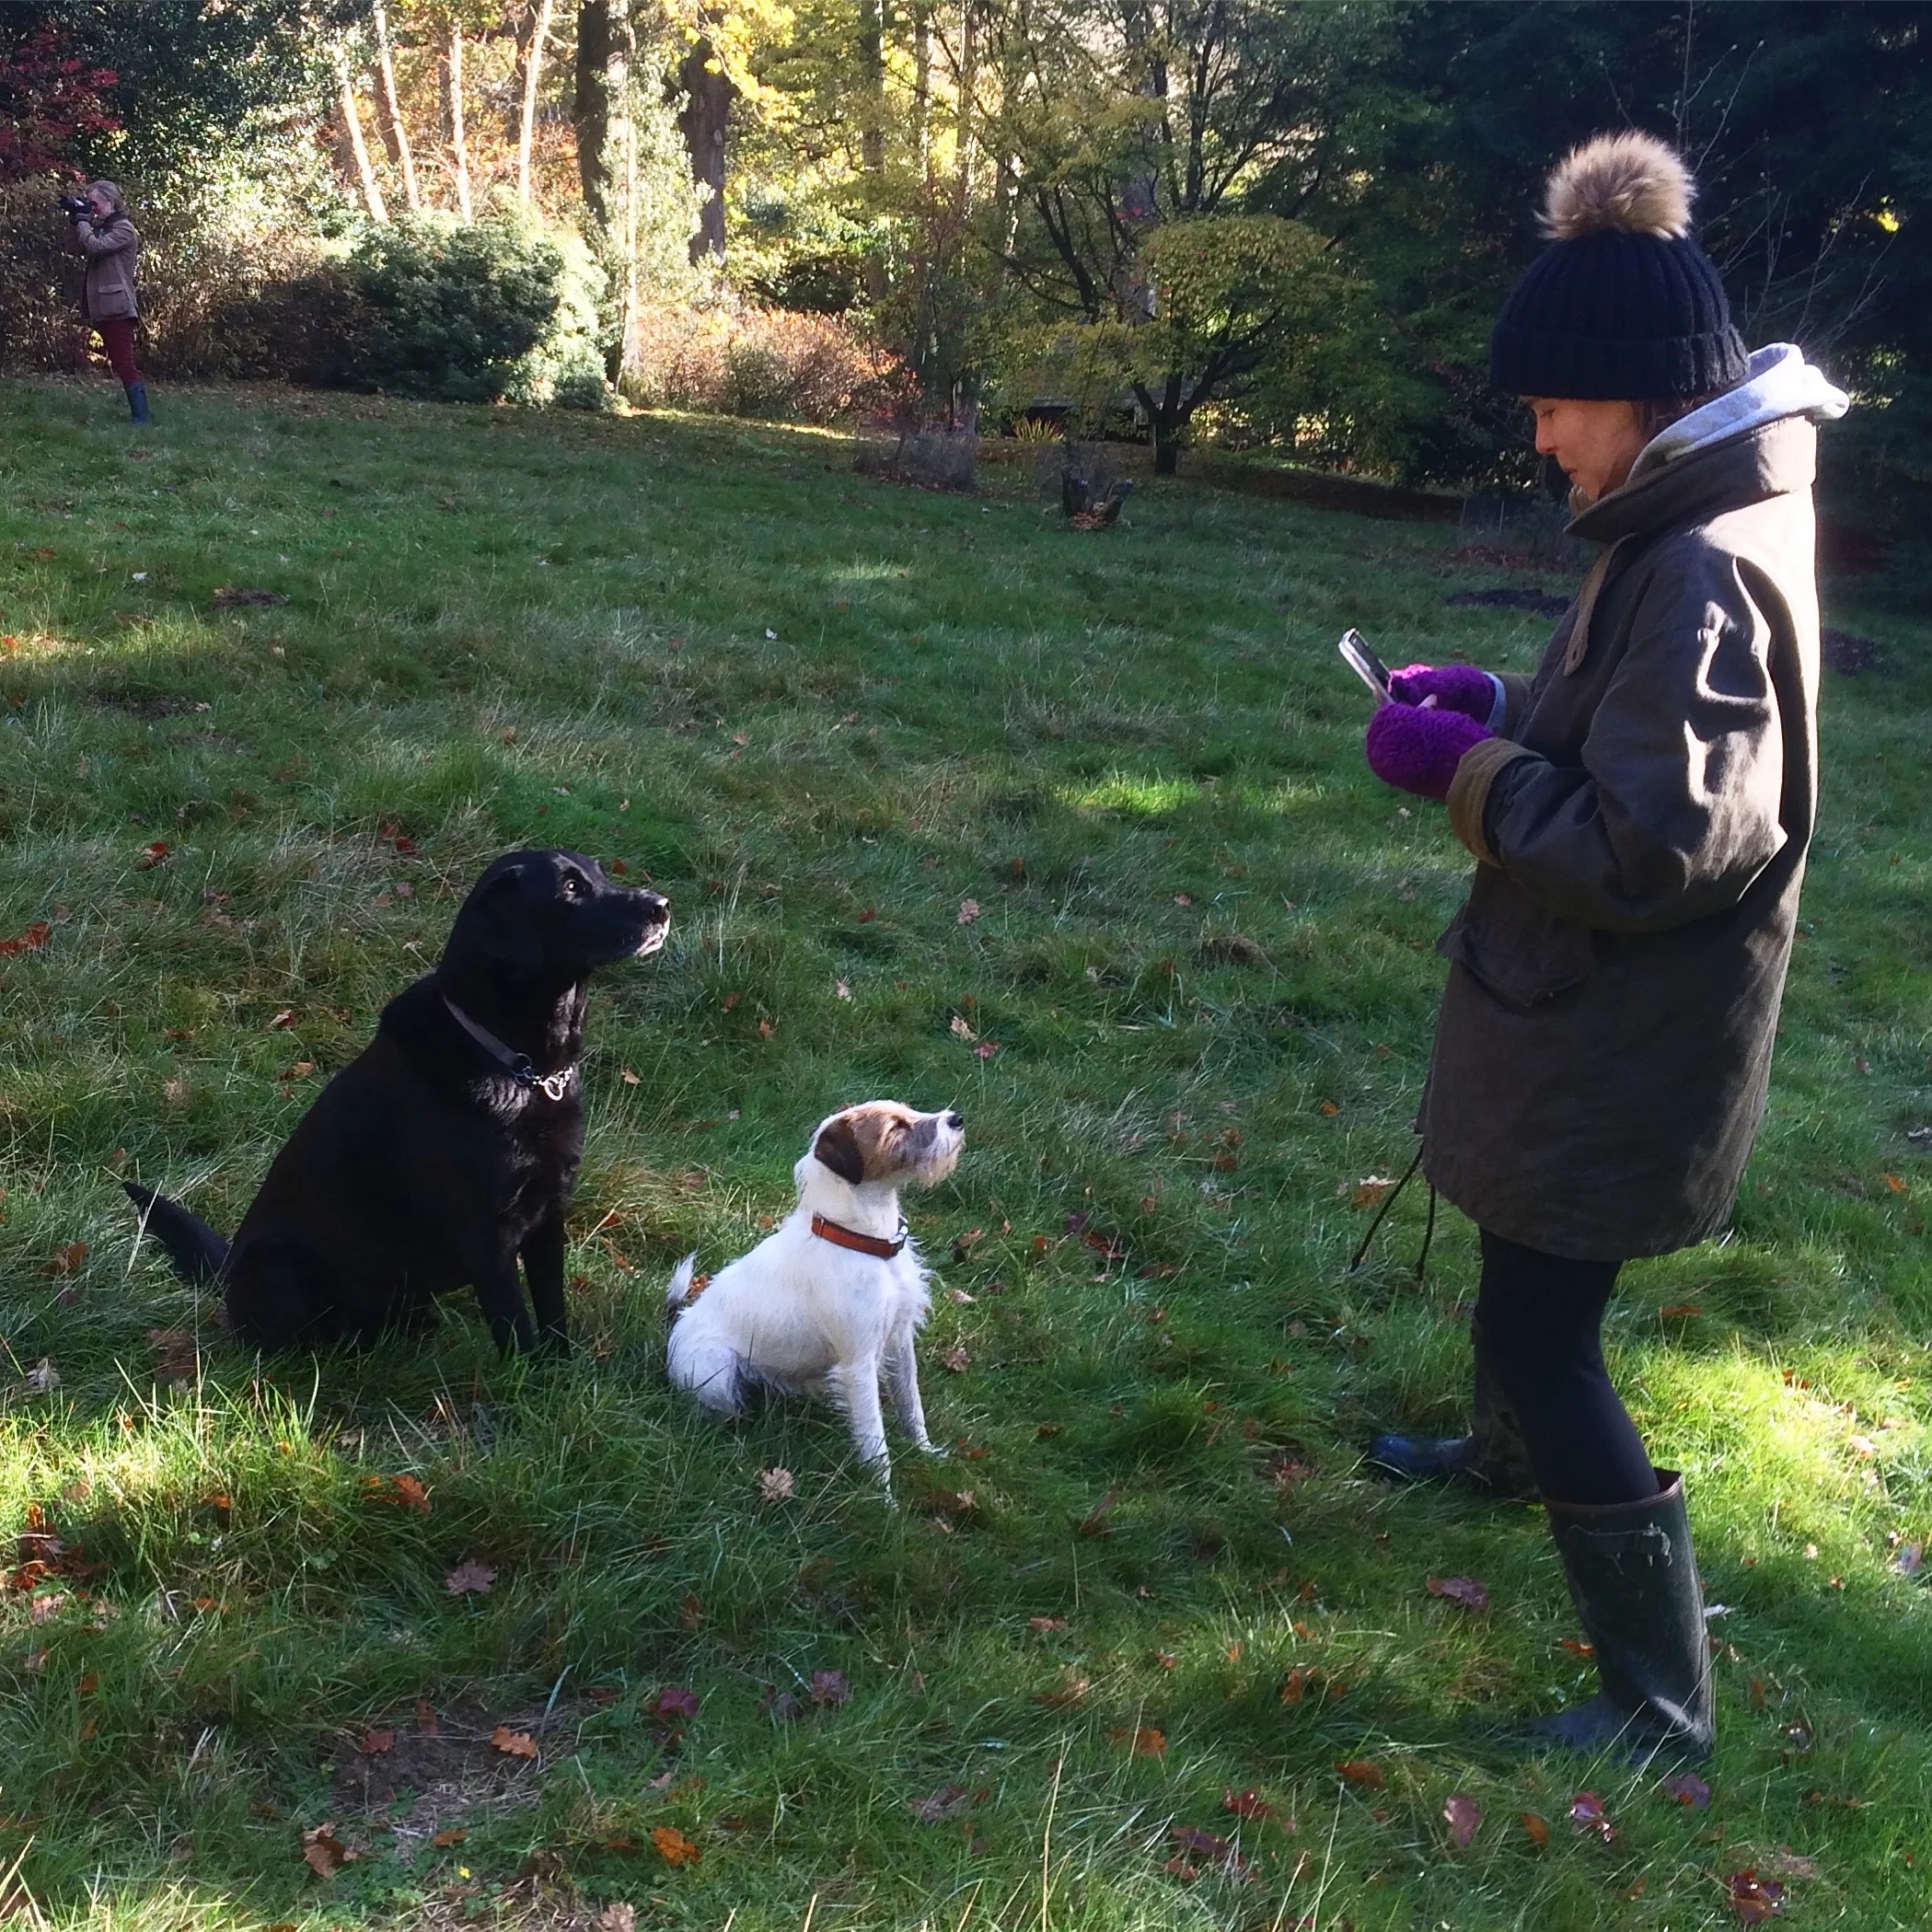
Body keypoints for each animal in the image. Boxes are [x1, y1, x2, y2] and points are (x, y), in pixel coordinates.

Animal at [125, 848, 669, 1356]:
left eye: (600, 874)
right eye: (571, 888)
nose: (662, 906)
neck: (521, 1067)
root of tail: (228, 1269)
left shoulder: (549, 1215)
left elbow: (553, 1313)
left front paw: (558, 1373)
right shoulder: (486, 1235)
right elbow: (516, 1328)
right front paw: (529, 1384)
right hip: (278, 1265)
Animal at [665, 1102, 965, 1482]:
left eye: (909, 1111)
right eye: (895, 1127)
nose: (956, 1119)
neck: (863, 1241)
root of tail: (679, 1320)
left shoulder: (899, 1341)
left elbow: (912, 1406)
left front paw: (926, 1452)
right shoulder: (858, 1364)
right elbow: (875, 1443)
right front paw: (882, 1496)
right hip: (714, 1370)